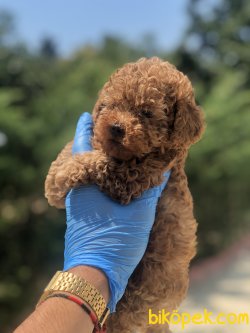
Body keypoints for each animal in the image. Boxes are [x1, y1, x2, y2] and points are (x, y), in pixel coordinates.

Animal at [45, 57, 205, 332]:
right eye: (111, 104)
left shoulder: (130, 178)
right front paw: (56, 174)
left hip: (134, 302)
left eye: (147, 113)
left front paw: (62, 176)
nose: (116, 127)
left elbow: (97, 161)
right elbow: (89, 145)